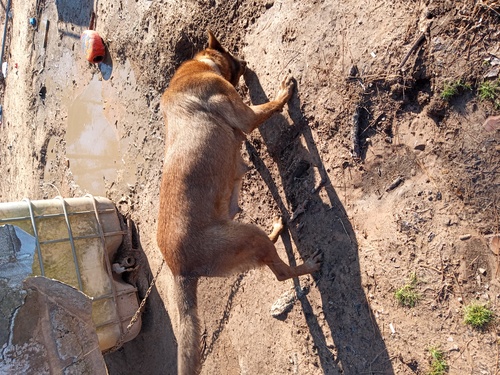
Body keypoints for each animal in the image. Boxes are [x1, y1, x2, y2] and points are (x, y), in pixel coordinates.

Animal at [157, 32, 320, 375]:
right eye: (233, 57)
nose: (246, 63)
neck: (198, 65)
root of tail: (179, 269)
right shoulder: (245, 114)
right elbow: (271, 105)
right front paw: (284, 92)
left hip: (239, 225)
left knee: (269, 252)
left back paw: (278, 228)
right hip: (244, 235)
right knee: (281, 272)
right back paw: (308, 265)